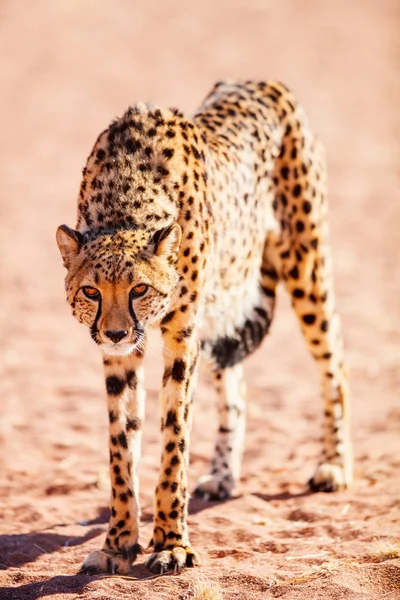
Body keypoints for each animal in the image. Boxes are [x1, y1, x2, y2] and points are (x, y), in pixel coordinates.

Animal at [57, 81, 354, 576]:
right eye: (91, 292)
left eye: (139, 288)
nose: (115, 334)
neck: (126, 201)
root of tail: (264, 82)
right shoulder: (124, 357)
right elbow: (121, 447)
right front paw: (119, 543)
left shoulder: (181, 335)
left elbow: (174, 438)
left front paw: (172, 543)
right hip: (222, 310)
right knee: (238, 386)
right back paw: (223, 475)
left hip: (306, 266)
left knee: (335, 368)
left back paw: (334, 466)